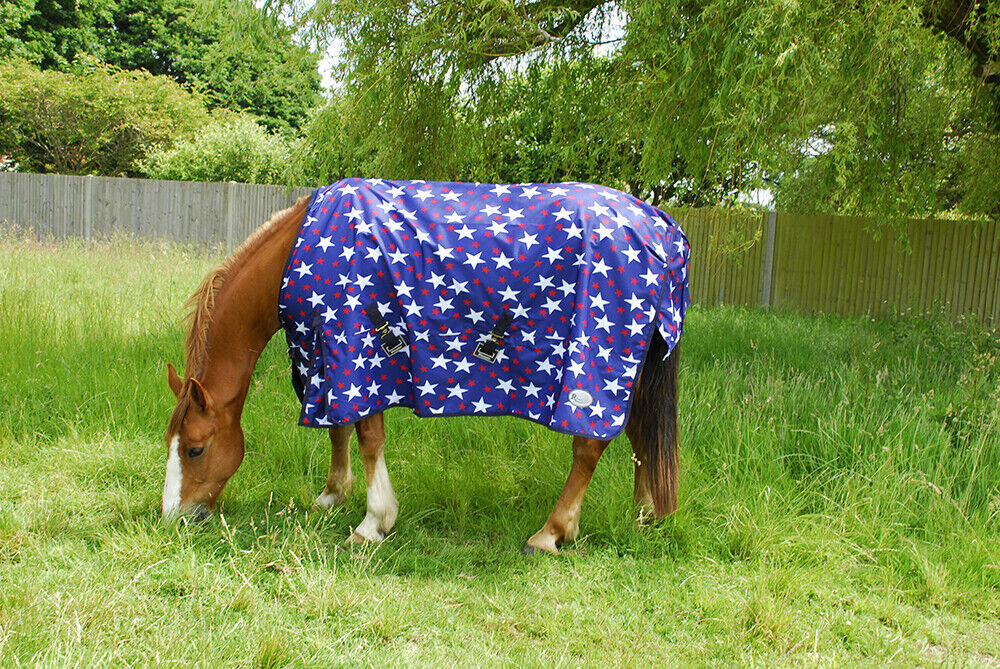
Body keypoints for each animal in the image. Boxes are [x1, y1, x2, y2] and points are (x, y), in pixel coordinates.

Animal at [162, 179, 689, 554]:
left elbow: (367, 435)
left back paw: (551, 532)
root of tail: (658, 223)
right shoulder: (328, 357)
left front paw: (373, 521)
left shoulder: (357, 351)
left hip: (594, 371)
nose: (175, 518)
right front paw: (332, 496)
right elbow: (339, 429)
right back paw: (645, 515)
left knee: (589, 446)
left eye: (194, 449)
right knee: (642, 434)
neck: (305, 251)